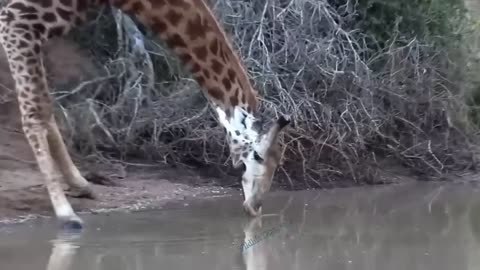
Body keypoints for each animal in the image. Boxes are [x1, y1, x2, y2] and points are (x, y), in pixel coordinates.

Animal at [0, 0, 290, 230]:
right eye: (257, 155)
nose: (255, 206)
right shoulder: (16, 18)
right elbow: (35, 113)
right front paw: (66, 213)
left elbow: (46, 106)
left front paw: (80, 184)